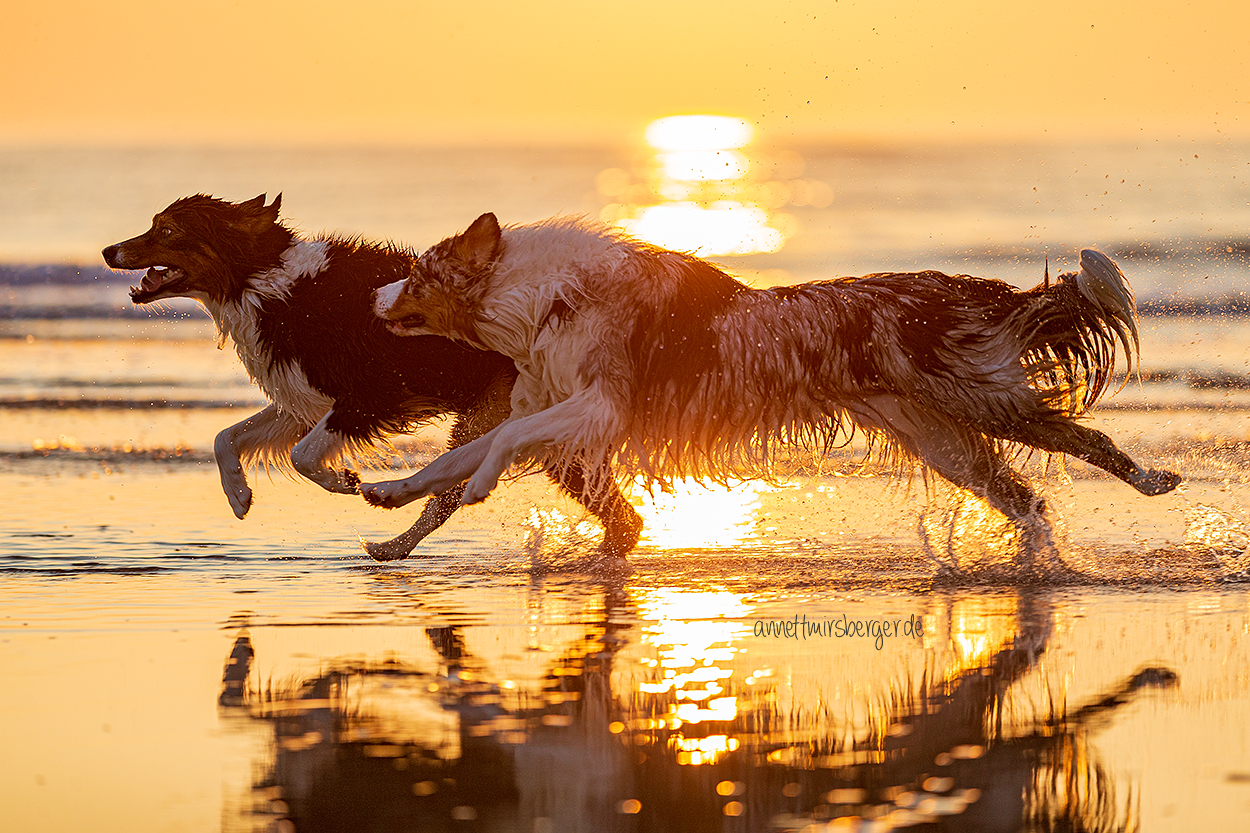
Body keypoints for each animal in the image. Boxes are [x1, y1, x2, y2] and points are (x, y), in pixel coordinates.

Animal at [101, 195, 640, 557]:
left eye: (167, 231)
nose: (108, 252)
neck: (263, 279)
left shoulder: (372, 395)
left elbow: (302, 456)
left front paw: (342, 480)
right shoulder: (308, 397)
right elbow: (226, 436)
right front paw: (238, 495)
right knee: (618, 517)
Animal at [360, 211, 1170, 567]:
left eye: (420, 273)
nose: (372, 295)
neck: (543, 297)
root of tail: (971, 289)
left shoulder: (597, 404)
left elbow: (494, 444)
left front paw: (475, 485)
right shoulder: (547, 401)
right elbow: (454, 456)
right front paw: (392, 492)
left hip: (979, 398)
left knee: (1084, 436)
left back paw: (1152, 479)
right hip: (942, 440)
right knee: (1027, 499)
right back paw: (1035, 564)